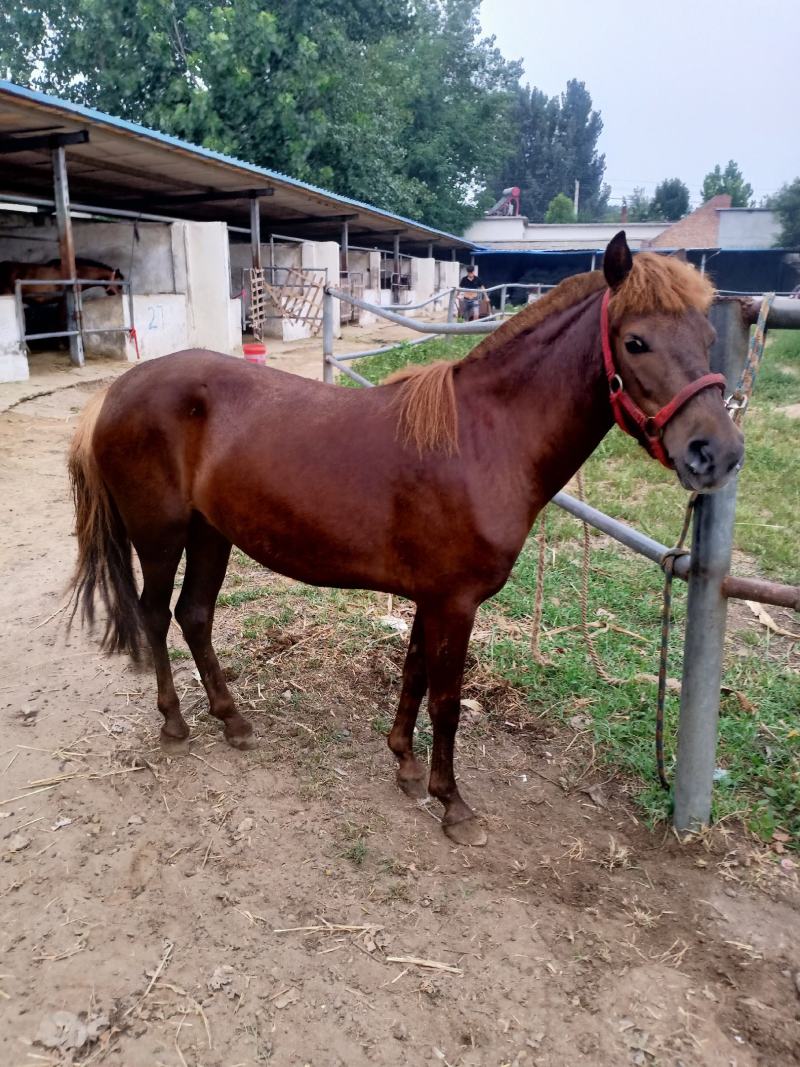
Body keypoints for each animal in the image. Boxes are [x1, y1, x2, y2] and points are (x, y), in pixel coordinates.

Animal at [67, 233, 743, 847]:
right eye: (636, 341)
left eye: (709, 341)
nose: (717, 453)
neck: (485, 438)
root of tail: (115, 392)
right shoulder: (456, 602)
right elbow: (446, 699)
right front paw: (454, 805)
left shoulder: (432, 598)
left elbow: (414, 671)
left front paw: (407, 765)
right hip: (161, 536)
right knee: (157, 615)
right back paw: (175, 725)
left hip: (212, 534)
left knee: (196, 615)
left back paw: (232, 721)